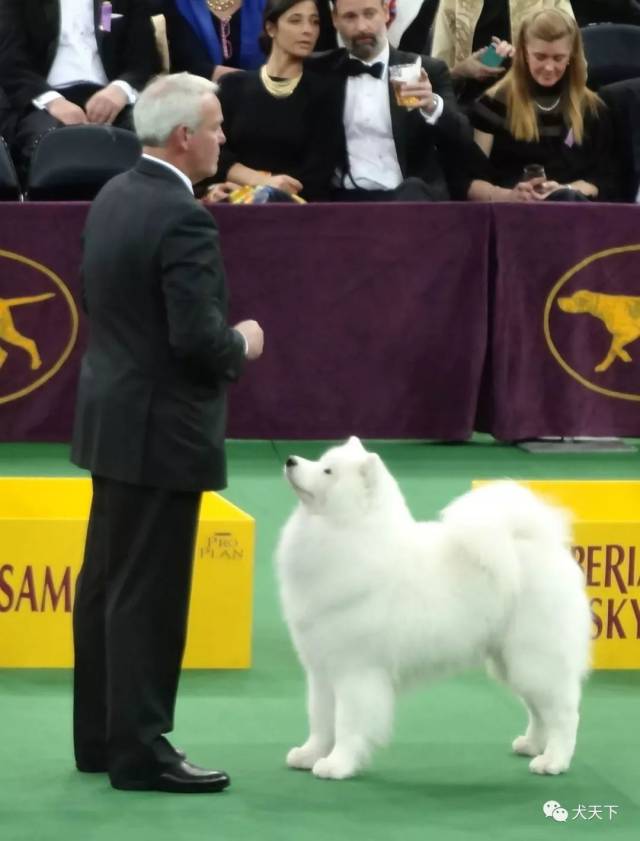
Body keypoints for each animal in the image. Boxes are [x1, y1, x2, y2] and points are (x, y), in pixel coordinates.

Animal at [276, 440, 592, 780]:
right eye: (320, 461)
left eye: (327, 471)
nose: (290, 460)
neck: (349, 535)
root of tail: (542, 543)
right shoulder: (322, 668)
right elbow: (321, 720)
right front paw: (309, 754)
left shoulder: (356, 670)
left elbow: (347, 723)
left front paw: (337, 764)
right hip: (512, 662)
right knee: (538, 709)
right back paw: (532, 745)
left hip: (535, 658)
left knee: (563, 714)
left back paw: (553, 761)